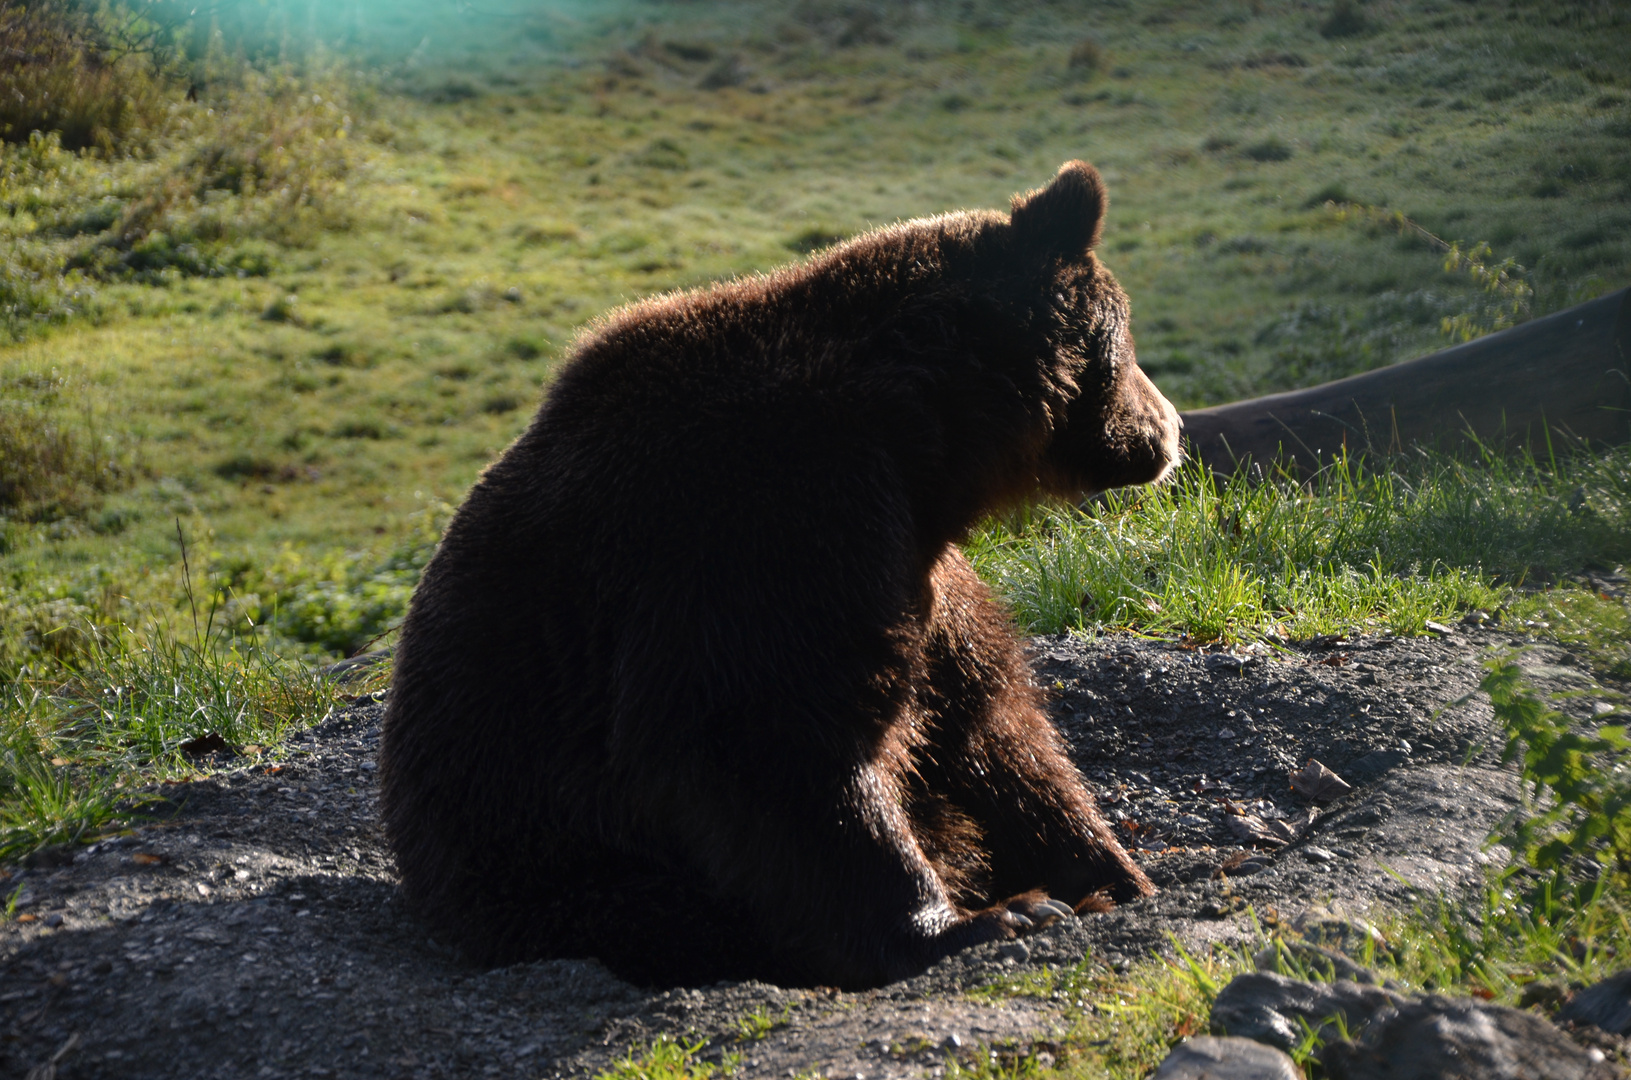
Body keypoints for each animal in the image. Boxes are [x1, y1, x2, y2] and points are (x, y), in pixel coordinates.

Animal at [376, 156, 1180, 991]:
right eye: (1128, 345)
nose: (1171, 429)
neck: (918, 443)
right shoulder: (772, 526)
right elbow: (766, 735)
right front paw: (979, 920)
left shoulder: (911, 572)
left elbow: (988, 724)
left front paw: (1108, 876)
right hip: (568, 871)